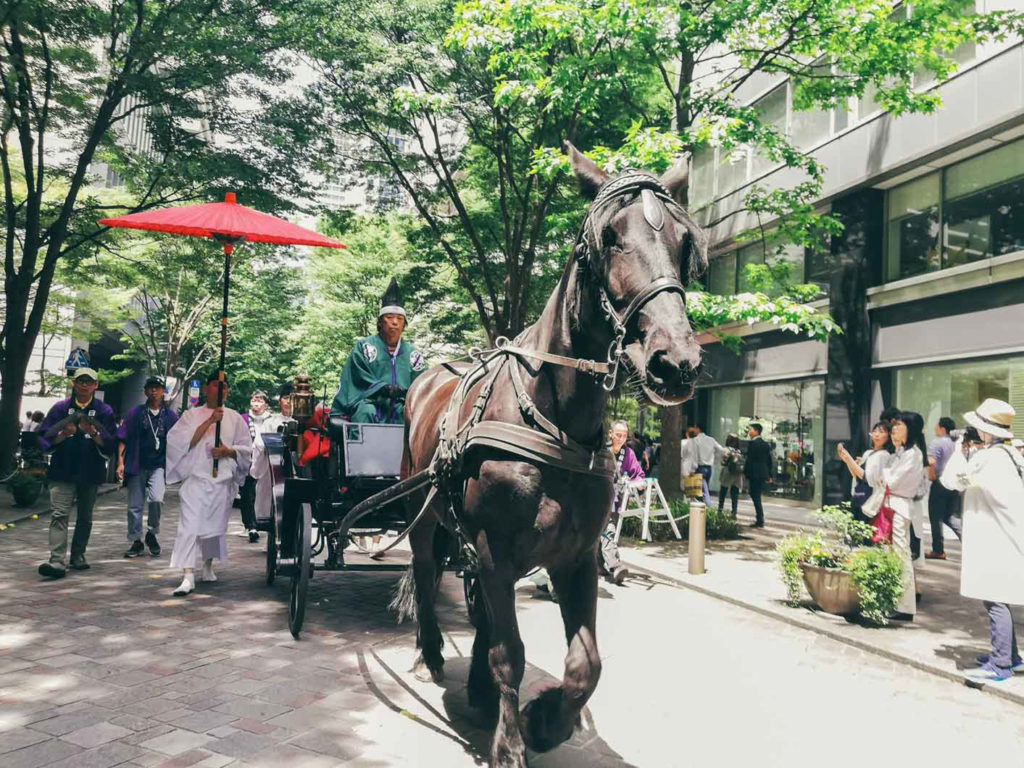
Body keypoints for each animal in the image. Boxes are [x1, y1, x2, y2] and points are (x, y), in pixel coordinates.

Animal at [403, 144, 708, 768]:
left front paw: (546, 721)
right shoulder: (496, 552)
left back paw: (477, 689)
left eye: (683, 242)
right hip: (425, 519)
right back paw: (431, 653)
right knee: (425, 573)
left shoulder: (576, 555)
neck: (556, 422)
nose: (676, 361)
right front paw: (509, 742)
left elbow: (584, 665)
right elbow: (510, 654)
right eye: (610, 238)